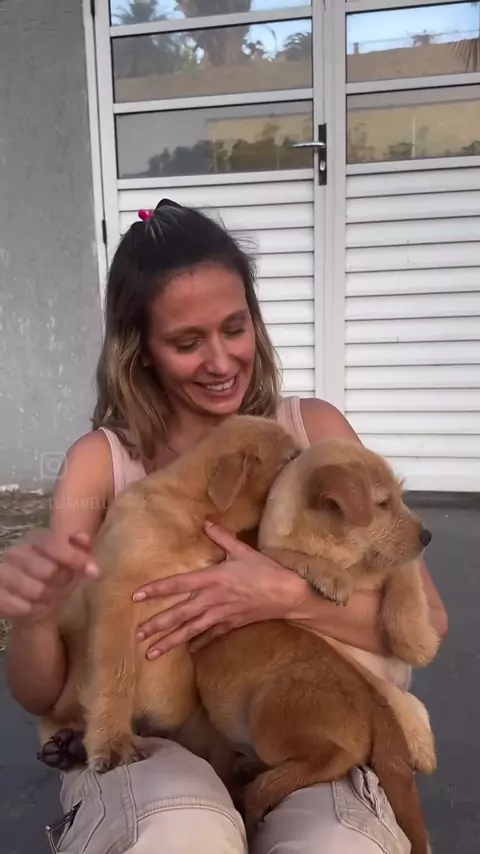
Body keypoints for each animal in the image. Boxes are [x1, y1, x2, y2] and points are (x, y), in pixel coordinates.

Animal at [193, 439, 438, 854]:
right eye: (382, 502)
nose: (427, 537)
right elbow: (287, 558)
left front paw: (414, 639)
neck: (350, 560)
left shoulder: (396, 568)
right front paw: (329, 577)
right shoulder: (268, 556)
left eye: (400, 497)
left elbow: (405, 578)